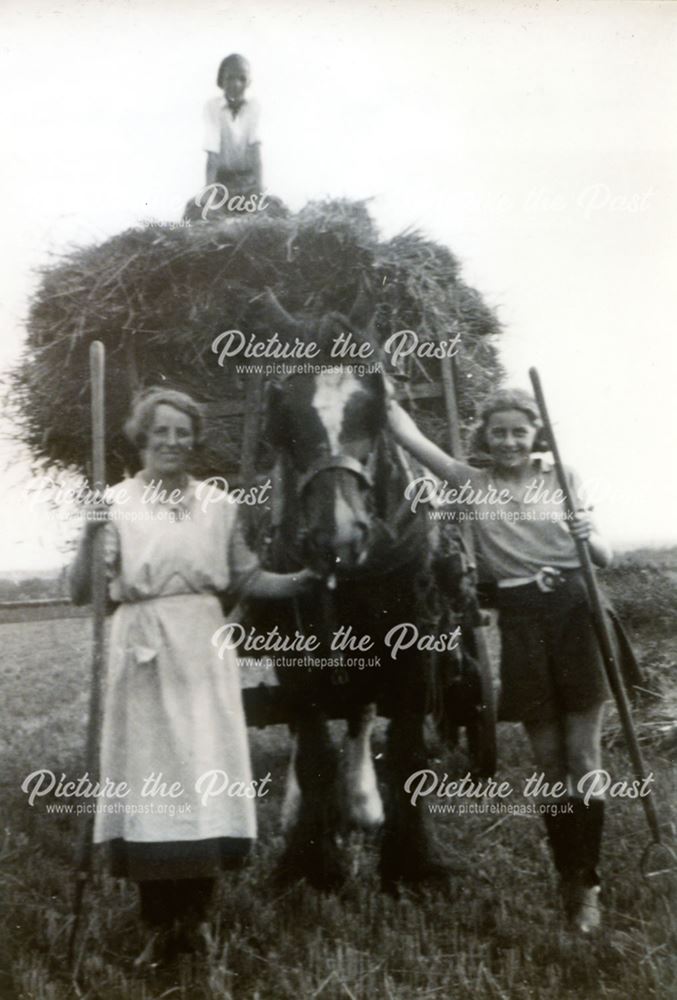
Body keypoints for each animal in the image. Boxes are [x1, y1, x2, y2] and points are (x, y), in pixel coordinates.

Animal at [242, 290, 476, 892]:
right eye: (280, 411)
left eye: (379, 402)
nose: (340, 537)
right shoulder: (297, 655)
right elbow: (313, 750)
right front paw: (309, 860)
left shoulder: (416, 646)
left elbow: (407, 750)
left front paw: (411, 862)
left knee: (364, 711)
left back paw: (363, 804)